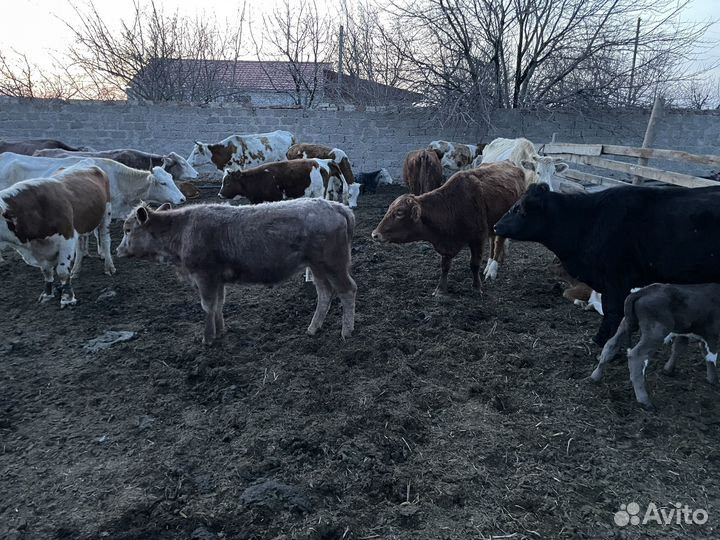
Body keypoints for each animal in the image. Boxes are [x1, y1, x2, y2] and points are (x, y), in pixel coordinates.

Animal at [0, 166, 113, 307]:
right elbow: (47, 272)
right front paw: (47, 294)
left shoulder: (67, 238)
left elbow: (62, 272)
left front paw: (67, 298)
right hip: (82, 224)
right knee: (81, 247)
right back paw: (76, 270)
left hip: (106, 214)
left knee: (105, 240)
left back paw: (109, 267)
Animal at [116, 199, 357, 345]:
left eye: (127, 230)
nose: (118, 250)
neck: (183, 230)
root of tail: (337, 206)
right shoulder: (217, 279)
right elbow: (218, 304)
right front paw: (220, 330)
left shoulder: (204, 276)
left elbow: (207, 306)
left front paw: (207, 338)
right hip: (317, 267)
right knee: (324, 293)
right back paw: (313, 327)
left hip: (333, 264)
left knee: (347, 290)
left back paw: (346, 331)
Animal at [372, 161, 527, 295]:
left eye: (399, 212)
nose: (375, 234)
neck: (453, 204)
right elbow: (445, 266)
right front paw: (440, 290)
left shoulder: (477, 239)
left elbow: (474, 264)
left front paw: (477, 288)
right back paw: (488, 266)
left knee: (498, 242)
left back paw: (492, 270)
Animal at [591, 283, 720, 410]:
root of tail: (642, 291)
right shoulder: (712, 335)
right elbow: (711, 356)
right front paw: (714, 380)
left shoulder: (688, 333)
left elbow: (680, 348)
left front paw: (669, 369)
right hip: (655, 333)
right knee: (636, 356)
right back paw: (644, 401)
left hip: (625, 323)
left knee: (610, 345)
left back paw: (595, 376)